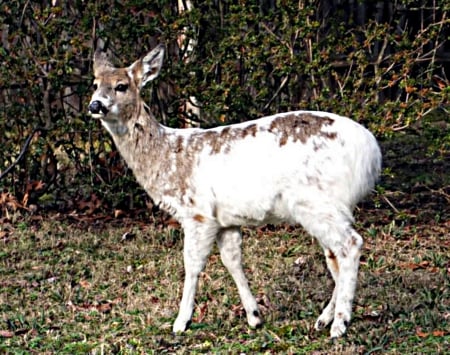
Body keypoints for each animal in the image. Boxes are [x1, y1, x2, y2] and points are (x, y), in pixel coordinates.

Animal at [89, 44, 384, 340]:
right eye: (95, 84)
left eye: (122, 85)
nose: (95, 105)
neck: (167, 157)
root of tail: (372, 153)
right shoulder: (226, 220)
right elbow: (232, 261)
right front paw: (254, 316)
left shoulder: (197, 213)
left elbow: (191, 264)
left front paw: (181, 322)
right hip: (326, 207)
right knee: (334, 257)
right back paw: (324, 319)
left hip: (317, 202)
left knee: (351, 245)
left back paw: (339, 324)